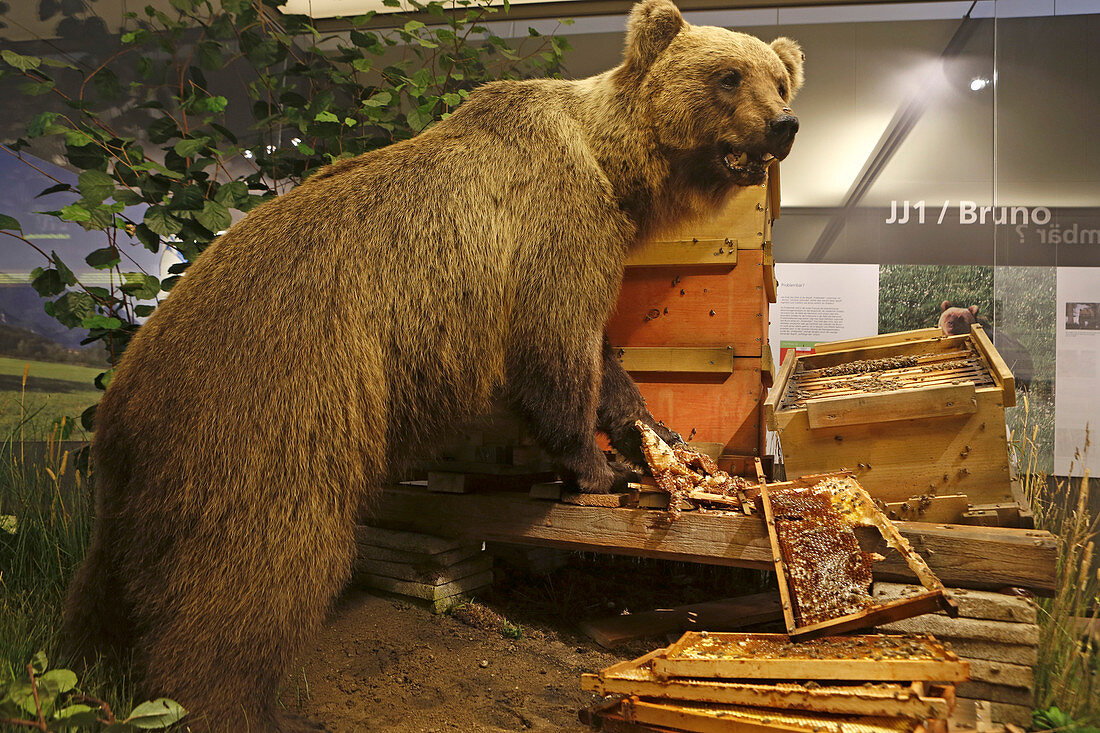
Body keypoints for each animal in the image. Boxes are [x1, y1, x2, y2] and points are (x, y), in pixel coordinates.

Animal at [62, 2, 800, 726]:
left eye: (780, 81)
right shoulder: (557, 233)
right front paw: (599, 467)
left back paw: (94, 660)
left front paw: (653, 434)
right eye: (729, 76)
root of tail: (128, 383)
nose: (784, 125)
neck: (612, 166)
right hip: (270, 404)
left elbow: (604, 361)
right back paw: (229, 701)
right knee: (257, 569)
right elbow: (560, 347)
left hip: (143, 468)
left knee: (109, 573)